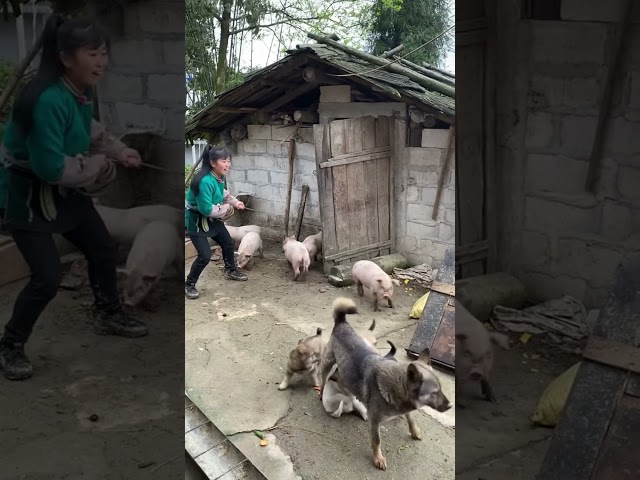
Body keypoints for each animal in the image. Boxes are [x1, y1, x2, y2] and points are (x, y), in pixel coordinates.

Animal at [318, 298, 450, 470]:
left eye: (440, 389)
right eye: (434, 392)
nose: (450, 406)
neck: (394, 386)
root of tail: (342, 323)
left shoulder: (406, 409)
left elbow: (411, 419)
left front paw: (414, 431)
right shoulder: (375, 421)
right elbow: (377, 440)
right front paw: (378, 458)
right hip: (327, 363)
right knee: (323, 379)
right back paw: (321, 393)